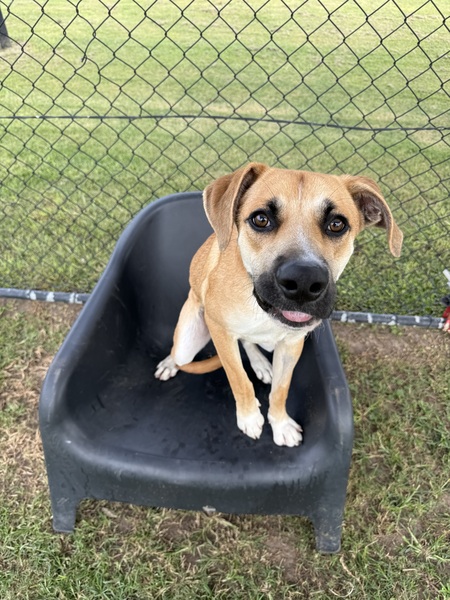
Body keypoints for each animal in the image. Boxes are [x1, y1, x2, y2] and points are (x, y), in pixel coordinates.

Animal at [155, 163, 403, 447]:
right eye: (261, 219)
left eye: (337, 224)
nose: (304, 281)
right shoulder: (220, 330)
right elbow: (239, 378)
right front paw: (249, 417)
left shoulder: (292, 345)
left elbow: (281, 390)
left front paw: (280, 424)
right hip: (187, 342)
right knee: (181, 353)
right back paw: (170, 363)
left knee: (248, 341)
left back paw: (261, 364)